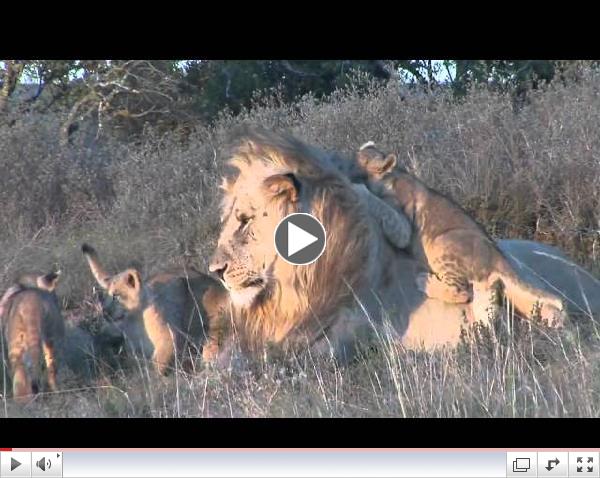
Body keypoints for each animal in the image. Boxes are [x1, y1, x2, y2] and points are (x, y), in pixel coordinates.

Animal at [0, 270, 64, 402]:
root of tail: (31, 303)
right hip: (51, 338)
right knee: (51, 366)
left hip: (15, 344)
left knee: (19, 371)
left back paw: (22, 402)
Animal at [80, 245, 230, 372]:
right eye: (107, 296)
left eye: (116, 296)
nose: (104, 312)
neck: (135, 319)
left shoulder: (168, 339)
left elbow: (158, 364)